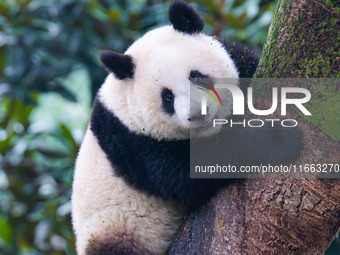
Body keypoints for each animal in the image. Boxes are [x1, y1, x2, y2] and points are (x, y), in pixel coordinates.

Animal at [71, 0, 300, 254]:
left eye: (197, 76)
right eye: (167, 97)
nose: (197, 114)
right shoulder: (134, 143)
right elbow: (189, 171)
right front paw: (279, 138)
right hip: (115, 229)